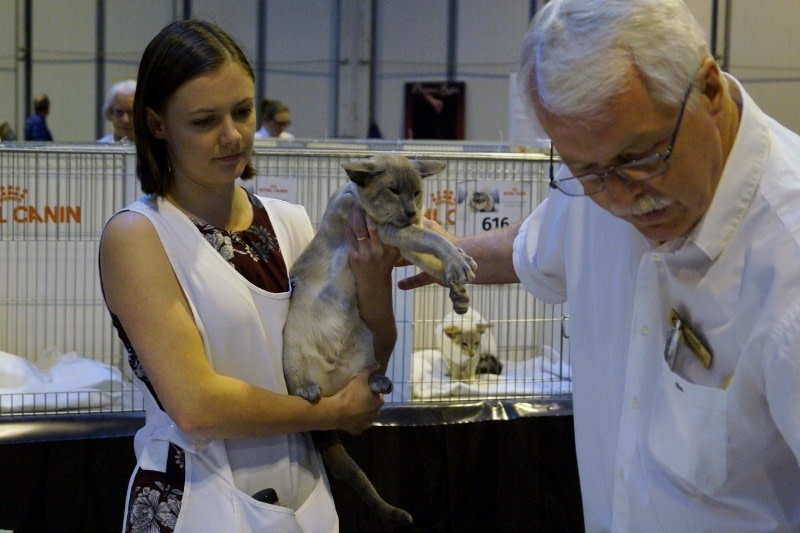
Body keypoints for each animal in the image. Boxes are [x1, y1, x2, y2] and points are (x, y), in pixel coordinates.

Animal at [283, 153, 478, 525]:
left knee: (368, 374)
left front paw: (459, 291)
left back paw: (379, 383)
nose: (412, 211)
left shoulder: (400, 242)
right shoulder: (389, 230)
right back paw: (308, 391)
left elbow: (431, 259)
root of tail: (330, 384)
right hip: (292, 346)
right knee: (297, 383)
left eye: (417, 193)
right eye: (394, 191)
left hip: (365, 344)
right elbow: (434, 241)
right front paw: (460, 262)